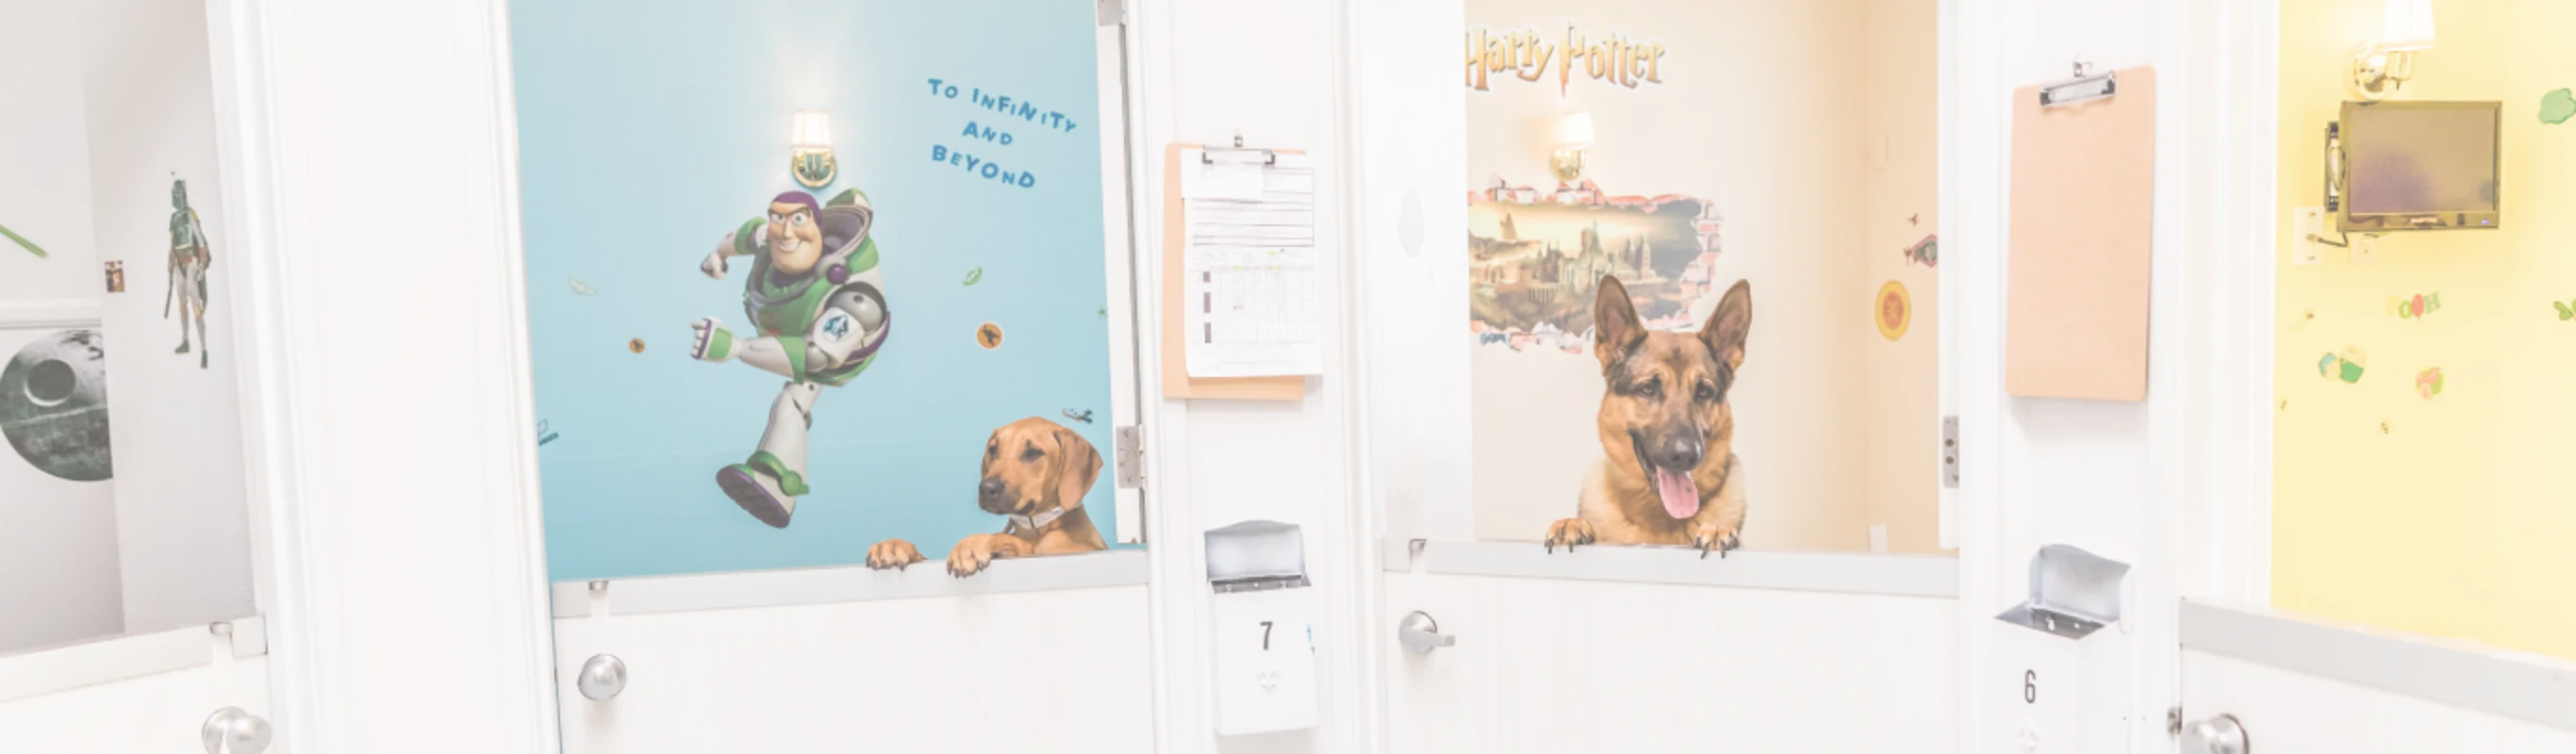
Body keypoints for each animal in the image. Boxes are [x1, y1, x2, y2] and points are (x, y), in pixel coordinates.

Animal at [865, 417, 1107, 576]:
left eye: (1033, 452)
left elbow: (1010, 540)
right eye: (993, 450)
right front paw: (893, 546)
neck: (1035, 529)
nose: (986, 488)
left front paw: (971, 546)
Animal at [1545, 272, 1751, 555]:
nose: (1686, 455)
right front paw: (1572, 524)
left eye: (1704, 391)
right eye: (1648, 389)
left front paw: (1717, 529)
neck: (1659, 515)